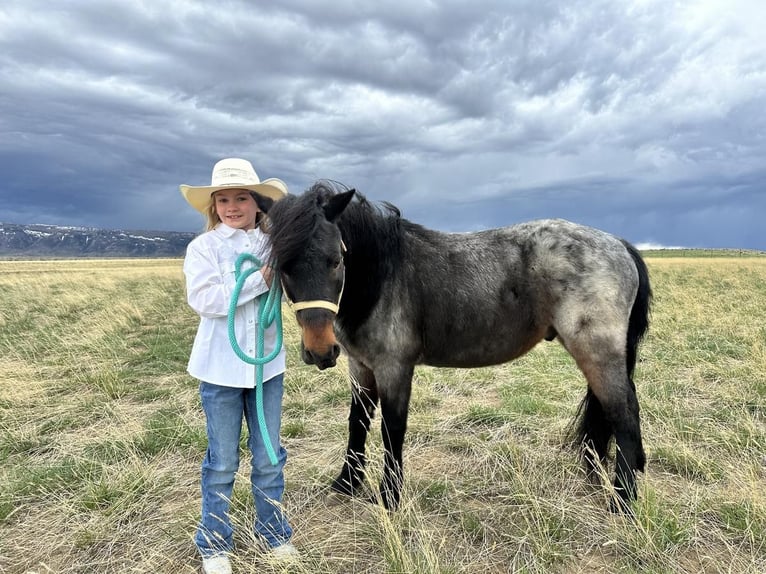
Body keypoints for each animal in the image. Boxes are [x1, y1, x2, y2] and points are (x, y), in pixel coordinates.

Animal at [255, 183, 652, 512]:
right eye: (283, 266)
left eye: (336, 260)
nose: (320, 351)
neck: (383, 276)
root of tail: (619, 244)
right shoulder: (360, 366)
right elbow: (358, 422)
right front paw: (347, 484)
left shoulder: (394, 368)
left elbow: (391, 429)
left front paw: (389, 498)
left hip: (597, 353)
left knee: (624, 414)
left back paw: (623, 501)